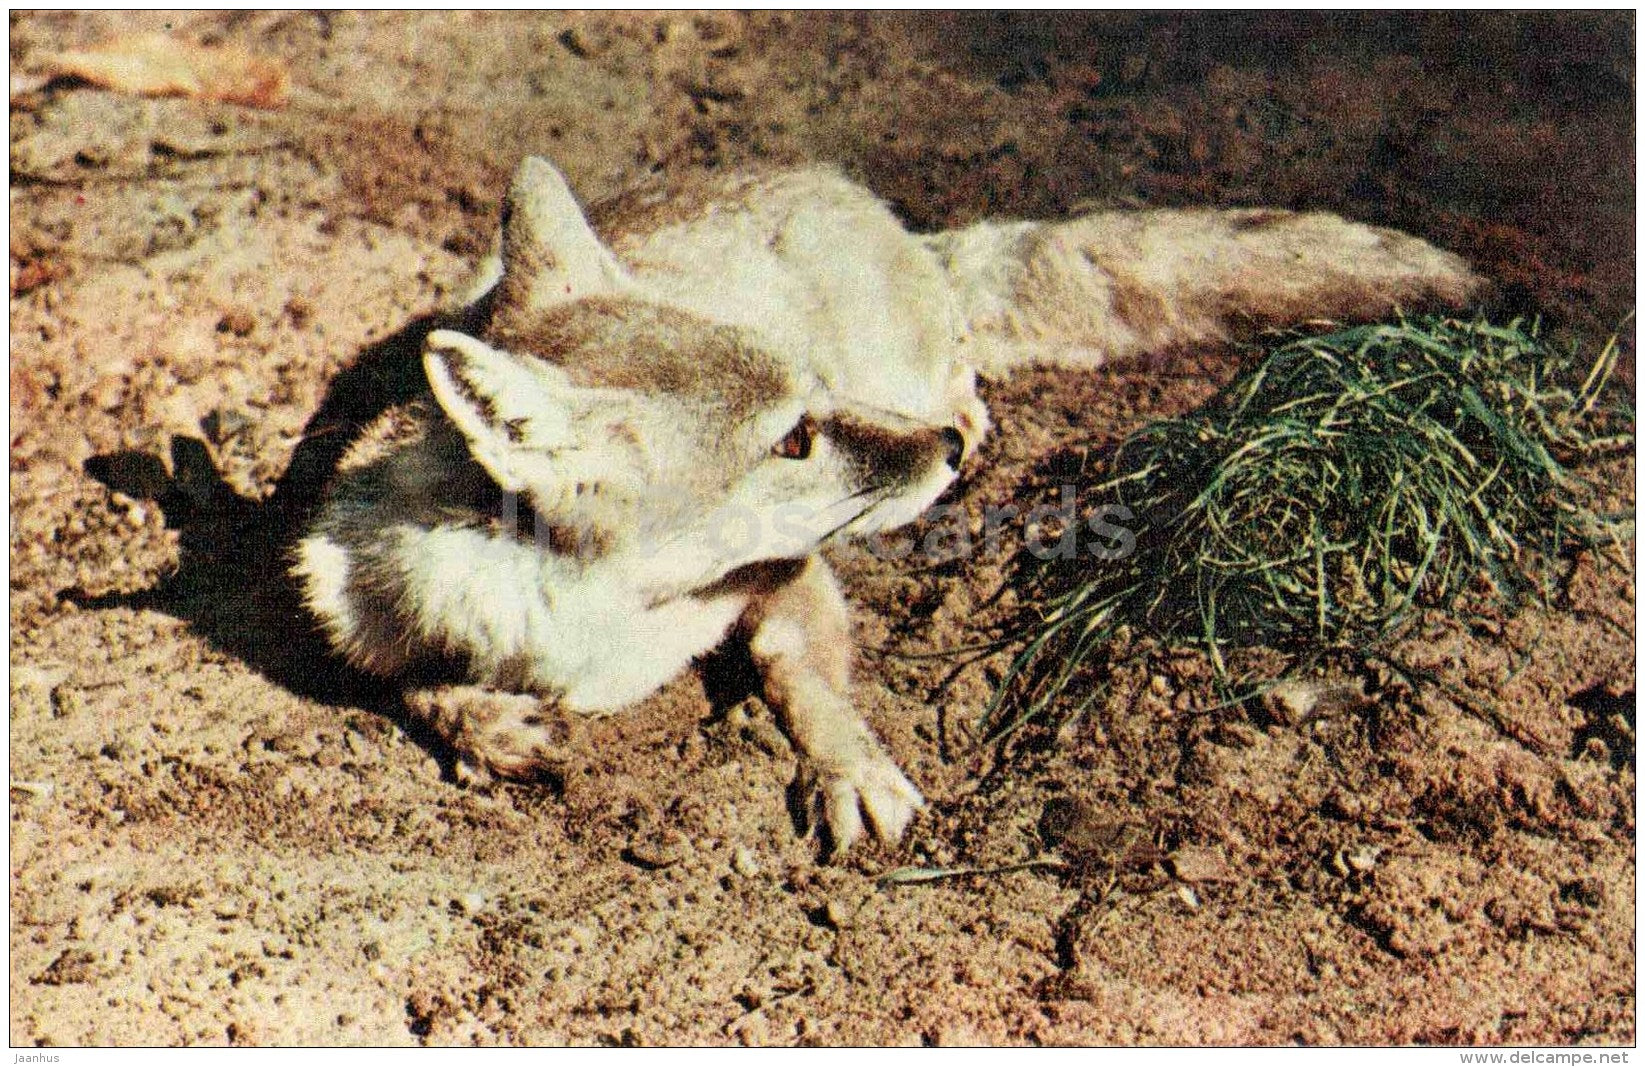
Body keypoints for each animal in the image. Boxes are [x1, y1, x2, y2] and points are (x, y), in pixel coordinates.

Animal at [292, 157, 1478, 856]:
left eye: (808, 408)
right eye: (792, 439)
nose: (938, 454)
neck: (606, 636)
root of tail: (844, 187)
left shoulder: (791, 573)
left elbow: (799, 673)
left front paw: (846, 762)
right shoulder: (353, 605)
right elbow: (407, 683)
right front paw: (487, 722)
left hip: (905, 363)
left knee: (960, 359)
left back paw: (964, 416)